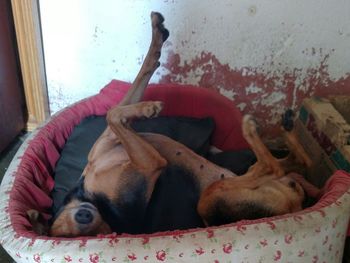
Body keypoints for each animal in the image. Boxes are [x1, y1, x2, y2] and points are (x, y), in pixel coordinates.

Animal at [48, 11, 320, 237]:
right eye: (71, 234)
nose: (84, 216)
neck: (93, 196)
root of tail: (294, 205)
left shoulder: (107, 142)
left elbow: (123, 100)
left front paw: (156, 39)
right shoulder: (151, 164)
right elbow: (113, 114)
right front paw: (149, 108)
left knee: (300, 162)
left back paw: (287, 127)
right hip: (211, 199)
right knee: (274, 166)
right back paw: (255, 129)